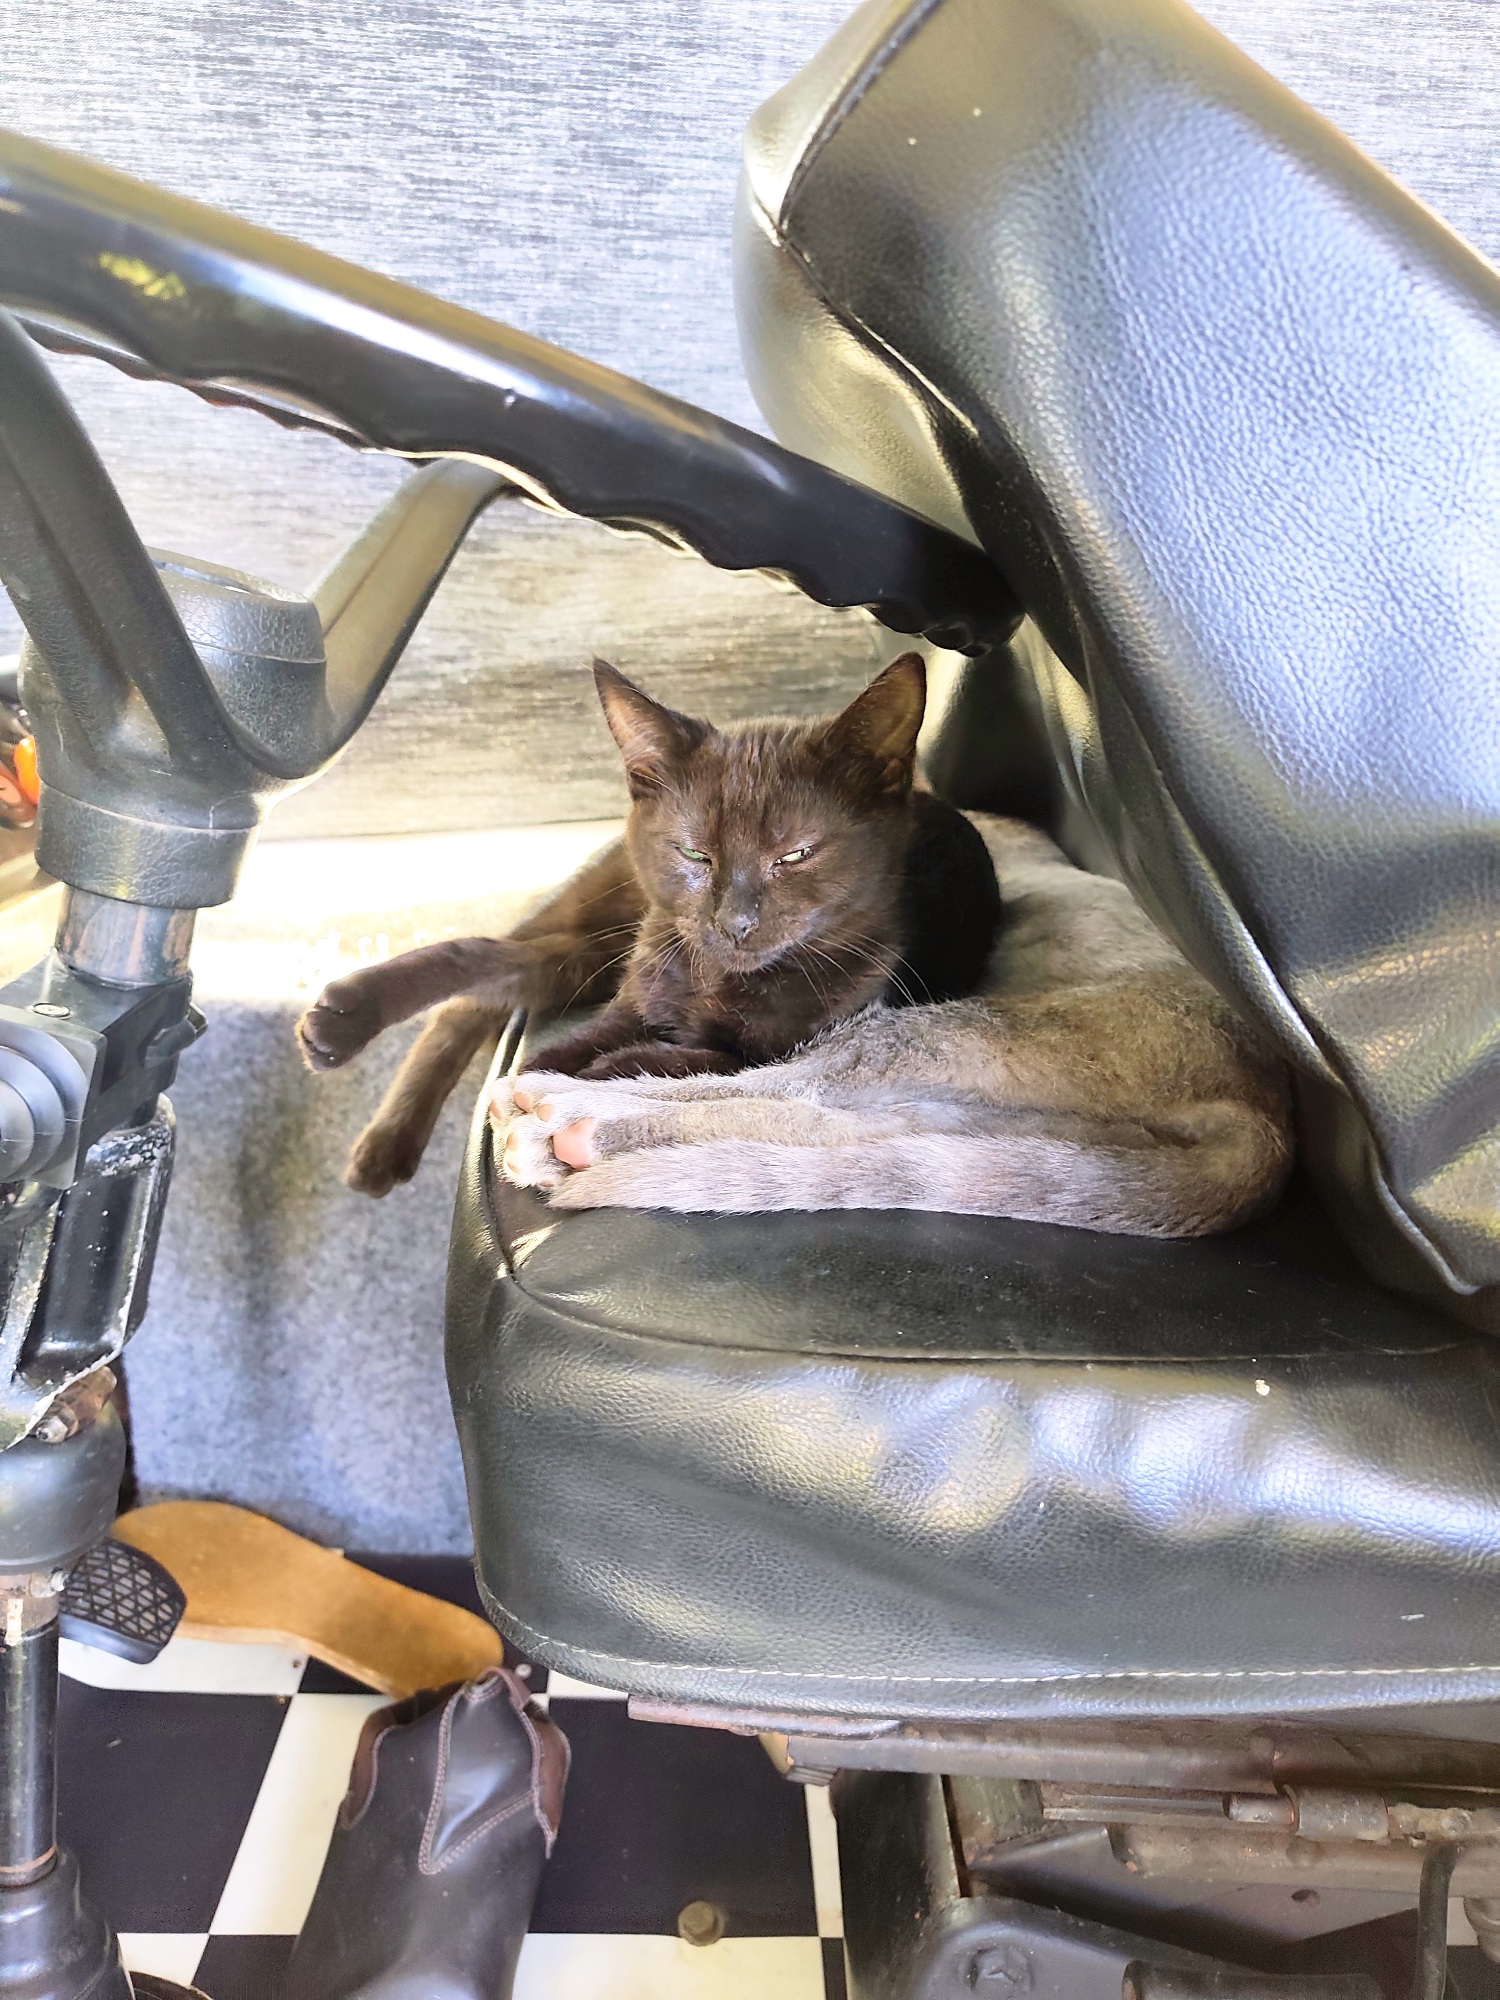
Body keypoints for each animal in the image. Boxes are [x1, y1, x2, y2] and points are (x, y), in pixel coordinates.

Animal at [297, 653, 1003, 1196]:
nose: (734, 921)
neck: (715, 980)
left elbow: (695, 1060)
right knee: (481, 968)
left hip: (592, 953)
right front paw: (553, 1085)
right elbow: (563, 1052)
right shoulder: (632, 999)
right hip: (612, 916)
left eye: (795, 854)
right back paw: (349, 1039)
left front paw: (579, 1091)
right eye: (694, 853)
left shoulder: (782, 1044)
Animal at [494, 814, 1294, 1238]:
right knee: (840, 1130)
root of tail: (1266, 1108)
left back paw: (563, 1117)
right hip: (1011, 1110)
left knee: (786, 1093)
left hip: (928, 1032)